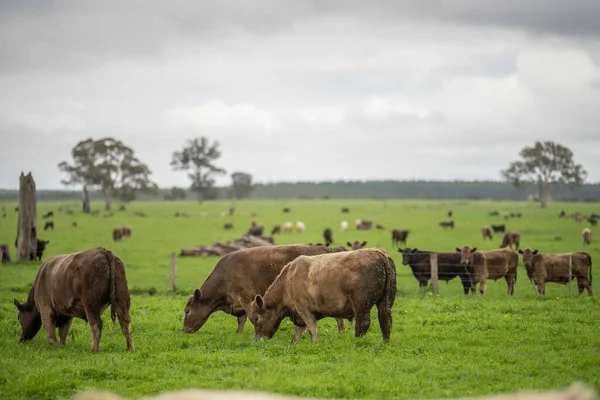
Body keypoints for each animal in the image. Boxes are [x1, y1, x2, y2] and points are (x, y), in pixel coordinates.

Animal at [185, 244, 350, 334]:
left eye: (187, 311)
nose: (184, 330)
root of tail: (328, 249)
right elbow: (241, 320)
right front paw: (238, 333)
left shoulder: (247, 298)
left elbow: (252, 318)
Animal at [251, 247, 396, 344]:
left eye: (256, 318)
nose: (258, 340)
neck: (288, 279)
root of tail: (378, 253)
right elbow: (299, 331)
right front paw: (294, 343)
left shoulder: (303, 309)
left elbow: (311, 328)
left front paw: (314, 343)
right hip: (385, 302)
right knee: (385, 320)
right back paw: (386, 343)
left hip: (361, 304)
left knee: (363, 323)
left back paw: (356, 342)